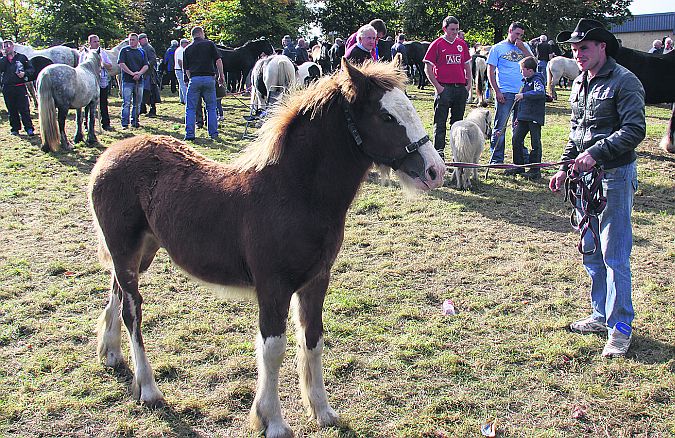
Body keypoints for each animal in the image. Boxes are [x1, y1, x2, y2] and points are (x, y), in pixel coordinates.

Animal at [88, 59, 444, 438]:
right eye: (386, 116)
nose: (435, 170)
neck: (293, 192)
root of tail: (109, 155)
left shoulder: (317, 280)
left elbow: (313, 338)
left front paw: (322, 411)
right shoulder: (273, 286)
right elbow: (273, 348)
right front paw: (272, 420)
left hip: (142, 251)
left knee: (116, 292)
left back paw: (110, 353)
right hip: (126, 251)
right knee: (133, 310)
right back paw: (148, 388)